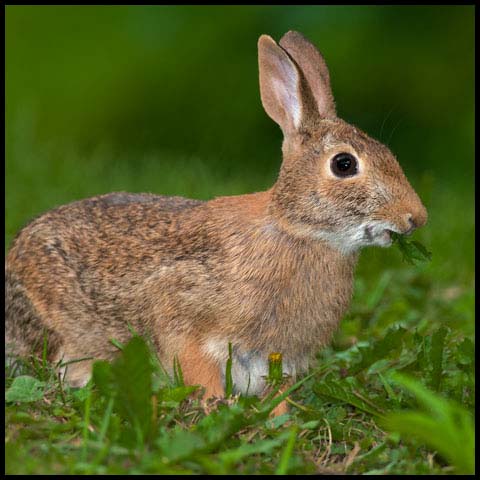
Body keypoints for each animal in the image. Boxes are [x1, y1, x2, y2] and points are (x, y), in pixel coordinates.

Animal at [5, 30, 426, 404]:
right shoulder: (184, 320)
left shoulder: (278, 359)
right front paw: (214, 406)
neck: (296, 230)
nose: (416, 218)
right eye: (344, 164)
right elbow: (197, 370)